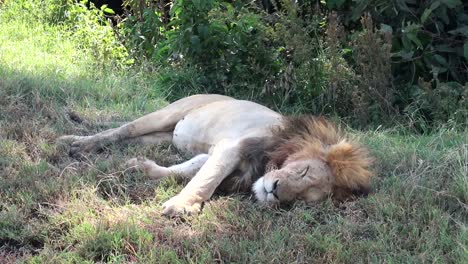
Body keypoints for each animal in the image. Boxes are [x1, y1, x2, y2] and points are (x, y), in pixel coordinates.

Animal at [59, 94, 372, 216]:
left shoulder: (220, 155)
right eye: (303, 170)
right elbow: (206, 179)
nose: (275, 191)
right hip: (168, 113)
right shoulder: (232, 147)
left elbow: (189, 170)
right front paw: (183, 206)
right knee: (124, 129)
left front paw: (139, 168)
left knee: (131, 138)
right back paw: (77, 144)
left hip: (165, 134)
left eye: (300, 200)